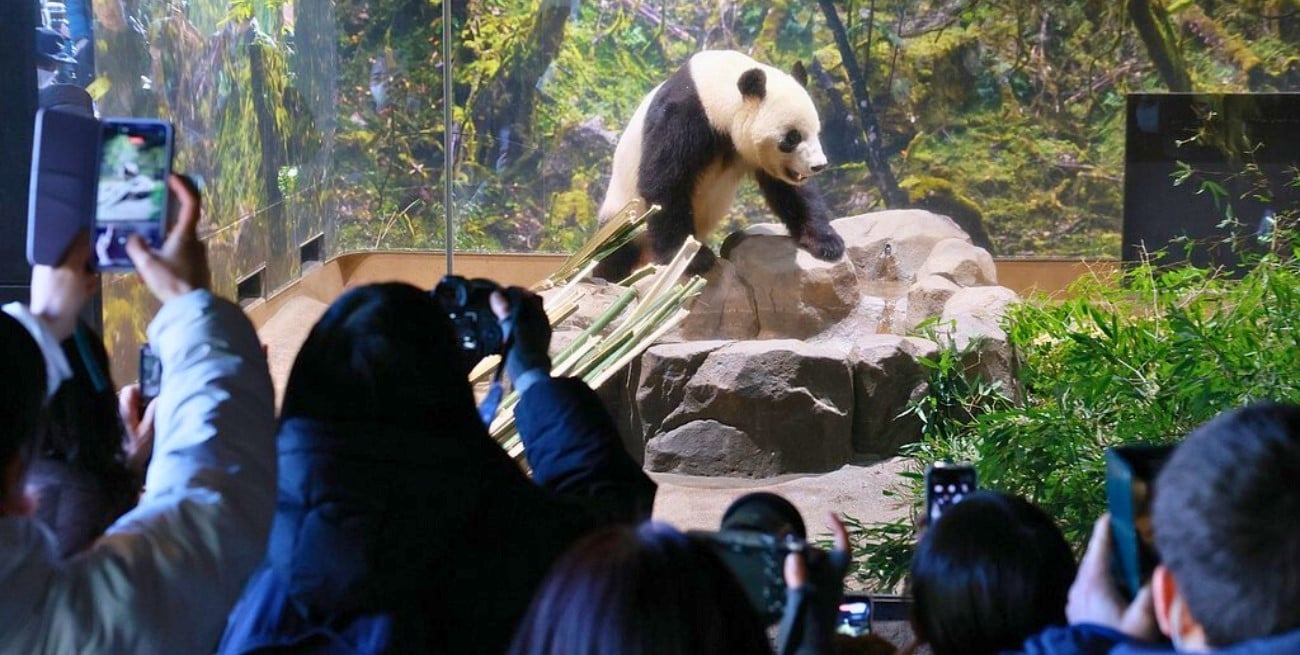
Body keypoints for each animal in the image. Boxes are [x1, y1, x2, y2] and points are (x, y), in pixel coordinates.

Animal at [593, 50, 844, 281]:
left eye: (816, 132)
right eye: (792, 138)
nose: (818, 166)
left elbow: (790, 191)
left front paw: (826, 242)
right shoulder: (683, 116)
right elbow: (664, 182)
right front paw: (692, 258)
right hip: (624, 214)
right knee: (616, 248)